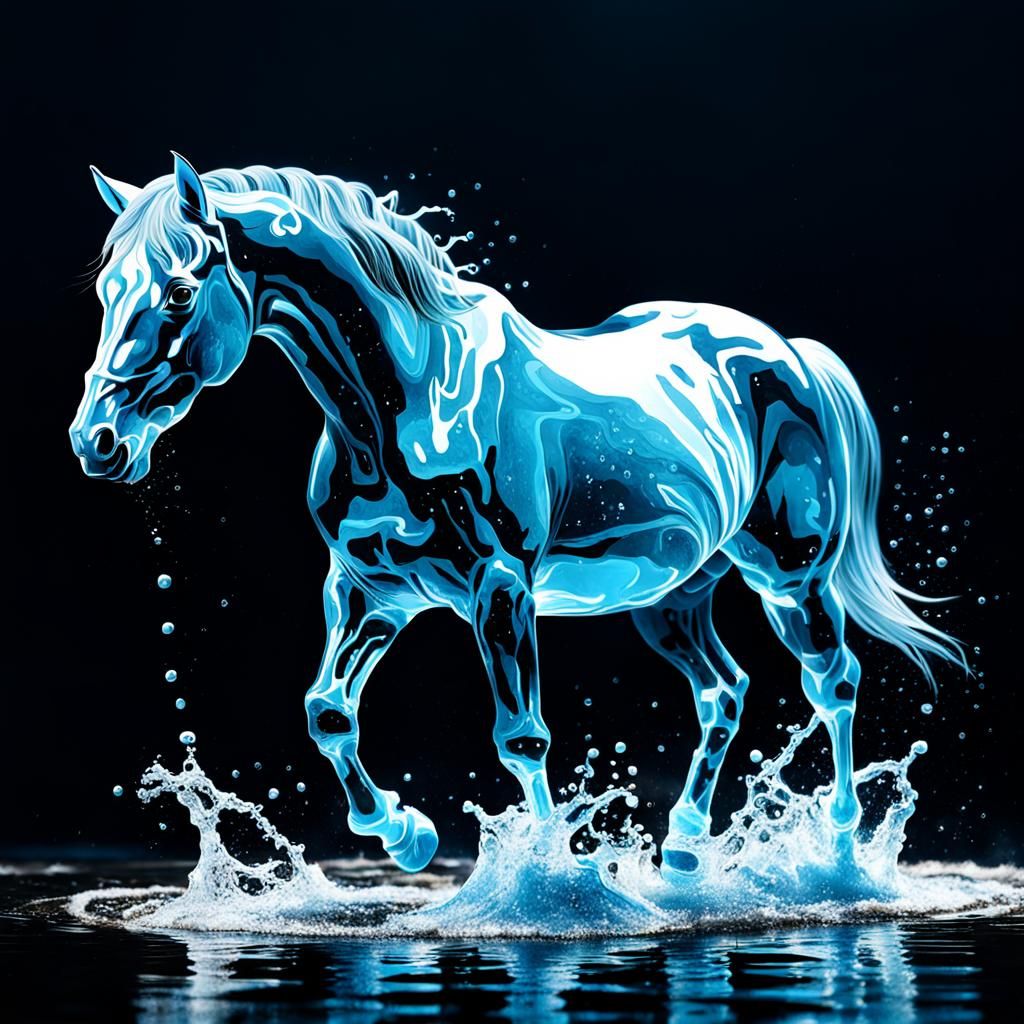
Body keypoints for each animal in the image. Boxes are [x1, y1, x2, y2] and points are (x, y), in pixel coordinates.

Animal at [70, 154, 965, 875]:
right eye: (108, 290)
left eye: (179, 290)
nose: (97, 441)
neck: (407, 404)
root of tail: (789, 353)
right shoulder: (371, 592)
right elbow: (327, 712)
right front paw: (407, 836)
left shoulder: (499, 588)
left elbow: (521, 737)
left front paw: (545, 879)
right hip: (674, 597)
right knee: (725, 692)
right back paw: (682, 851)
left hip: (790, 578)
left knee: (832, 683)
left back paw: (842, 855)